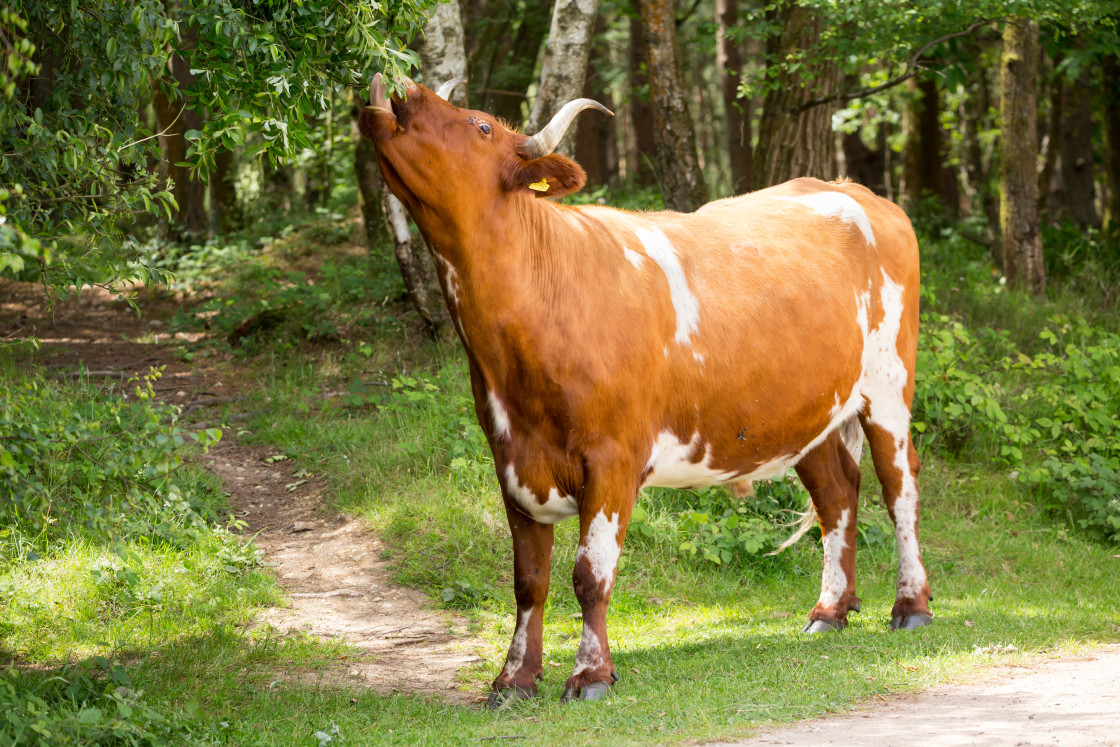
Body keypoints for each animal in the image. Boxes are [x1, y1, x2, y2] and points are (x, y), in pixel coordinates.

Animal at [356, 72, 927, 712]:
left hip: (888, 387)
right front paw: (513, 679)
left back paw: (911, 606)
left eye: (480, 126)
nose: (404, 87)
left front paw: (590, 674)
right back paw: (830, 611)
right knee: (837, 494)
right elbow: (529, 582)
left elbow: (590, 574)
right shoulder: (511, 460)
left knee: (899, 489)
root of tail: (857, 191)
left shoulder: (613, 458)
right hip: (809, 412)